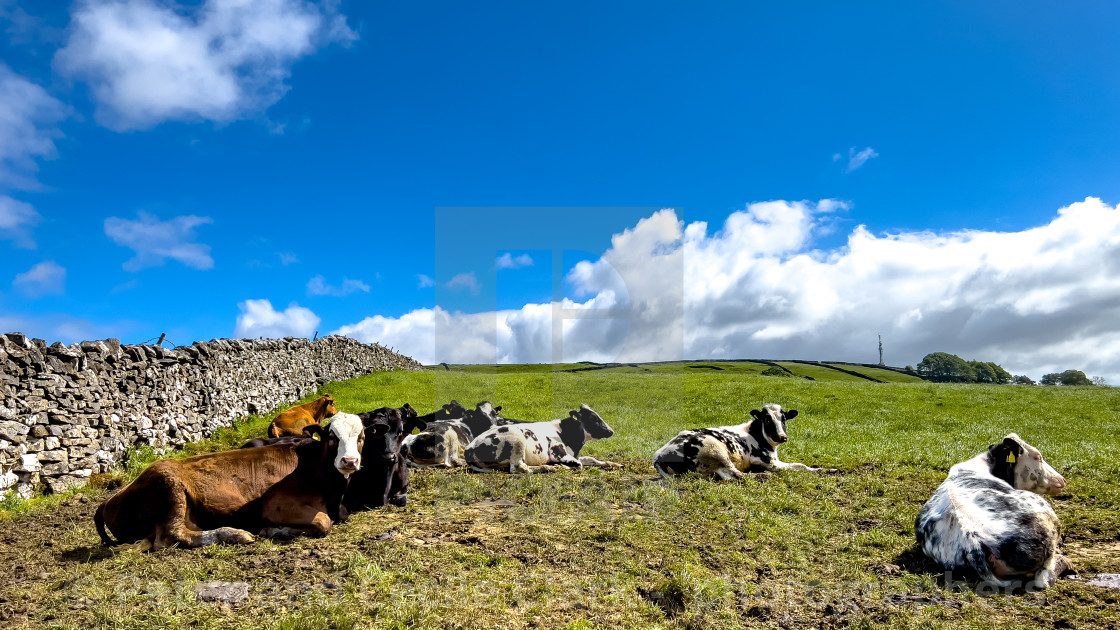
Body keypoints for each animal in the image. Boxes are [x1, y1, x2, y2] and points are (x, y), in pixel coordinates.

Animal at [95, 410, 365, 547]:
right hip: (168, 485)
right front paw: (274, 530)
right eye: (332, 436)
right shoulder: (275, 504)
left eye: (361, 436)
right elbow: (323, 522)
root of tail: (110, 499)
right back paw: (234, 534)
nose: (349, 461)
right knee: (171, 536)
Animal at [463, 401, 622, 470]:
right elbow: (579, 465)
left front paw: (615, 464)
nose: (611, 431)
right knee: (520, 468)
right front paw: (558, 466)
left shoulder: (575, 455)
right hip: (517, 441)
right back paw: (549, 468)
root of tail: (469, 448)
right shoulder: (559, 453)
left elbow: (592, 459)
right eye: (593, 418)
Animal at [649, 401, 815, 475]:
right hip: (715, 452)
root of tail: (659, 454)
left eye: (784, 419)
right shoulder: (765, 461)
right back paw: (762, 475)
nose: (782, 437)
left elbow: (801, 465)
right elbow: (797, 466)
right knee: (738, 475)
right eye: (767, 420)